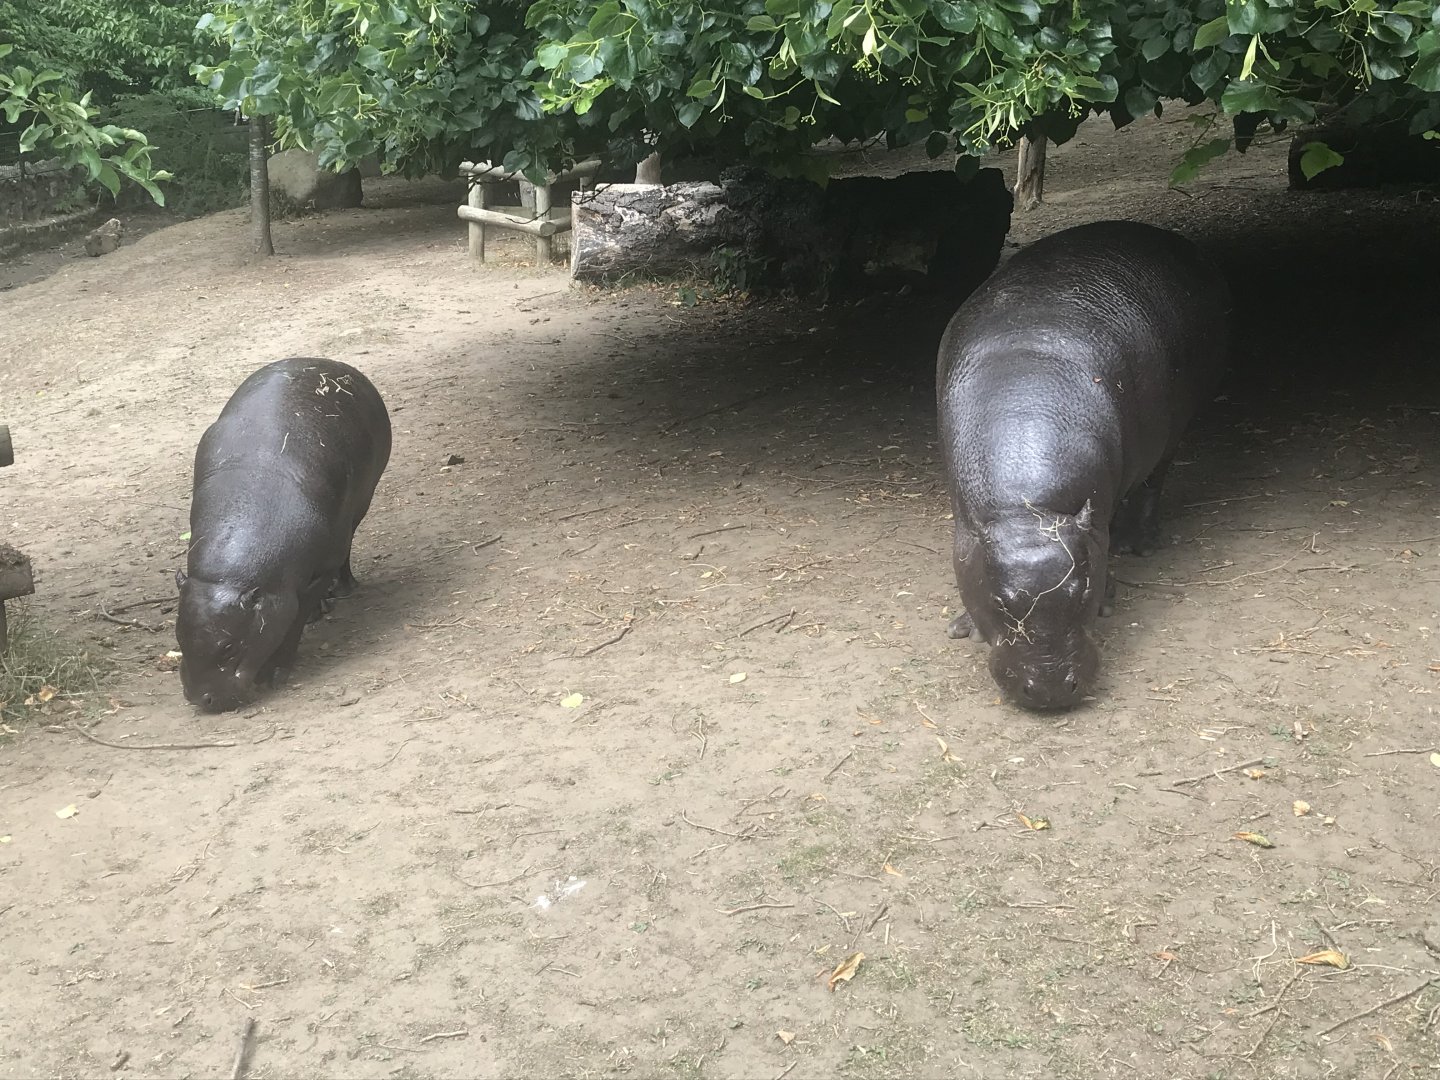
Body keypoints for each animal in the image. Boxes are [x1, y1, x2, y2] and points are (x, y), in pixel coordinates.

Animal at [175, 358, 391, 712]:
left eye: (230, 648)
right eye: (178, 637)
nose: (200, 699)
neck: (229, 578)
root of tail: (323, 361)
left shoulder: (315, 574)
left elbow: (294, 620)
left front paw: (274, 674)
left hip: (360, 505)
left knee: (347, 549)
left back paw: (344, 589)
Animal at [936, 220, 1231, 710]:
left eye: (1084, 589)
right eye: (1000, 600)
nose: (1051, 690)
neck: (1029, 512)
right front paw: (963, 627)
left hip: (1175, 427)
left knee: (1154, 482)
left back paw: (1140, 542)